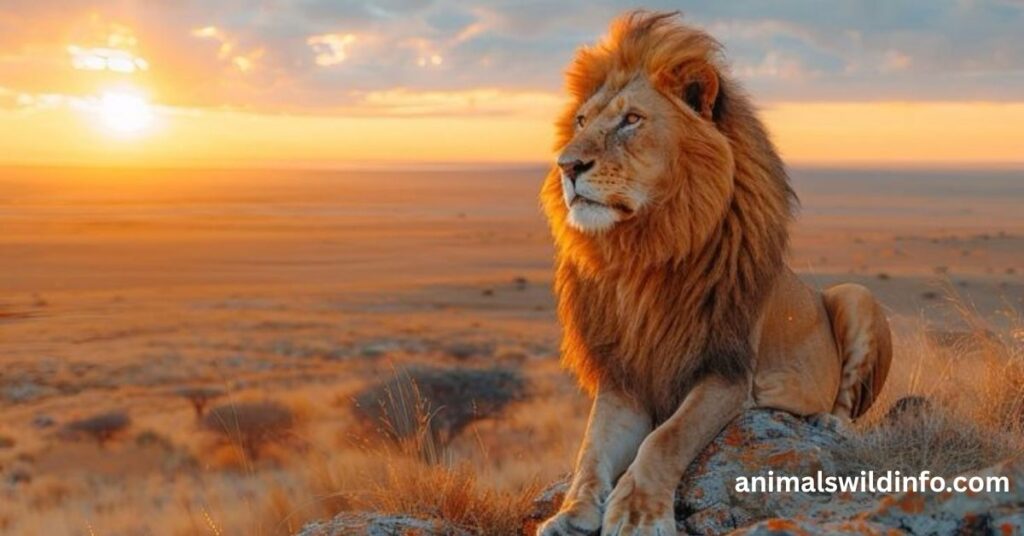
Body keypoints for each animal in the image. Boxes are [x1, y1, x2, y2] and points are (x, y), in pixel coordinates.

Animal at [537, 11, 892, 536]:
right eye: (581, 121)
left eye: (631, 120)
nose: (567, 165)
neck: (644, 253)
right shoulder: (625, 379)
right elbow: (591, 449)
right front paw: (572, 511)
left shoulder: (726, 372)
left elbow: (666, 438)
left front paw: (638, 513)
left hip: (855, 294)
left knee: (847, 408)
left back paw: (828, 424)